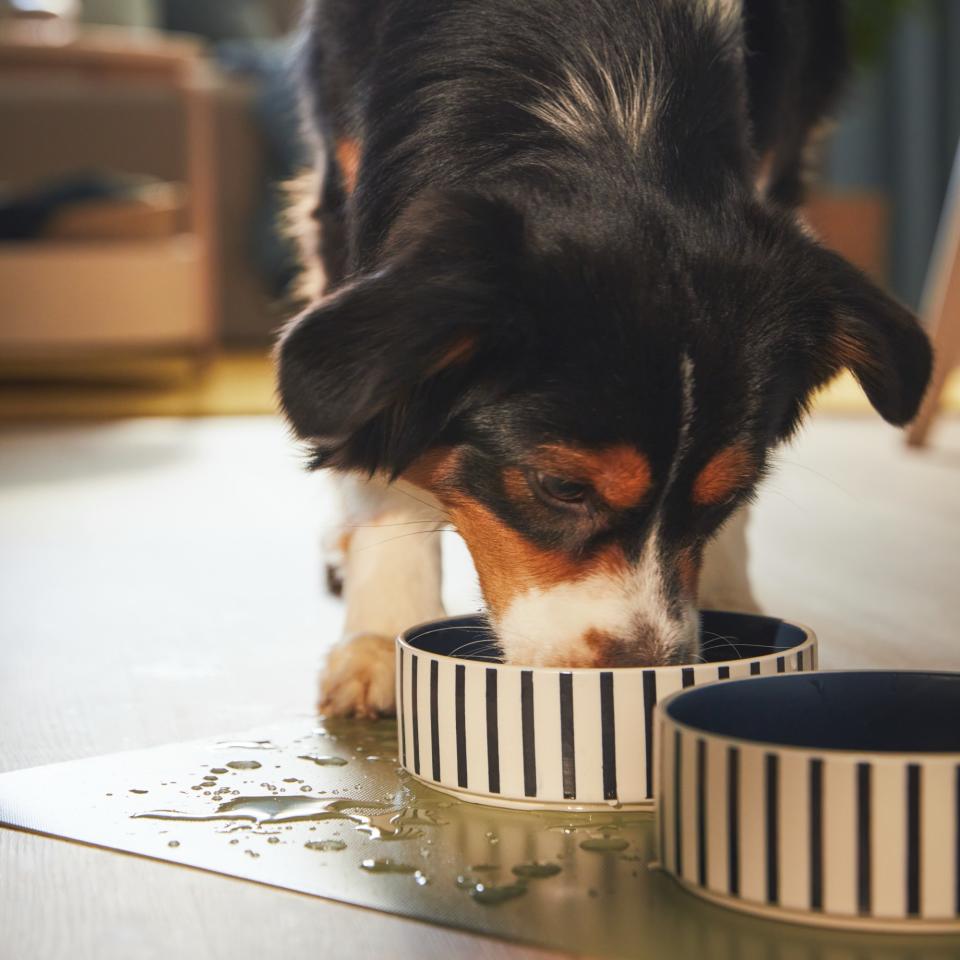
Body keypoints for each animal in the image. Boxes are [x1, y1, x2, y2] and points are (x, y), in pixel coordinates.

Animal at [276, 0, 928, 716]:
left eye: (732, 493)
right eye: (562, 488)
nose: (639, 673)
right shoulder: (345, 203)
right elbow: (376, 447)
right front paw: (380, 634)